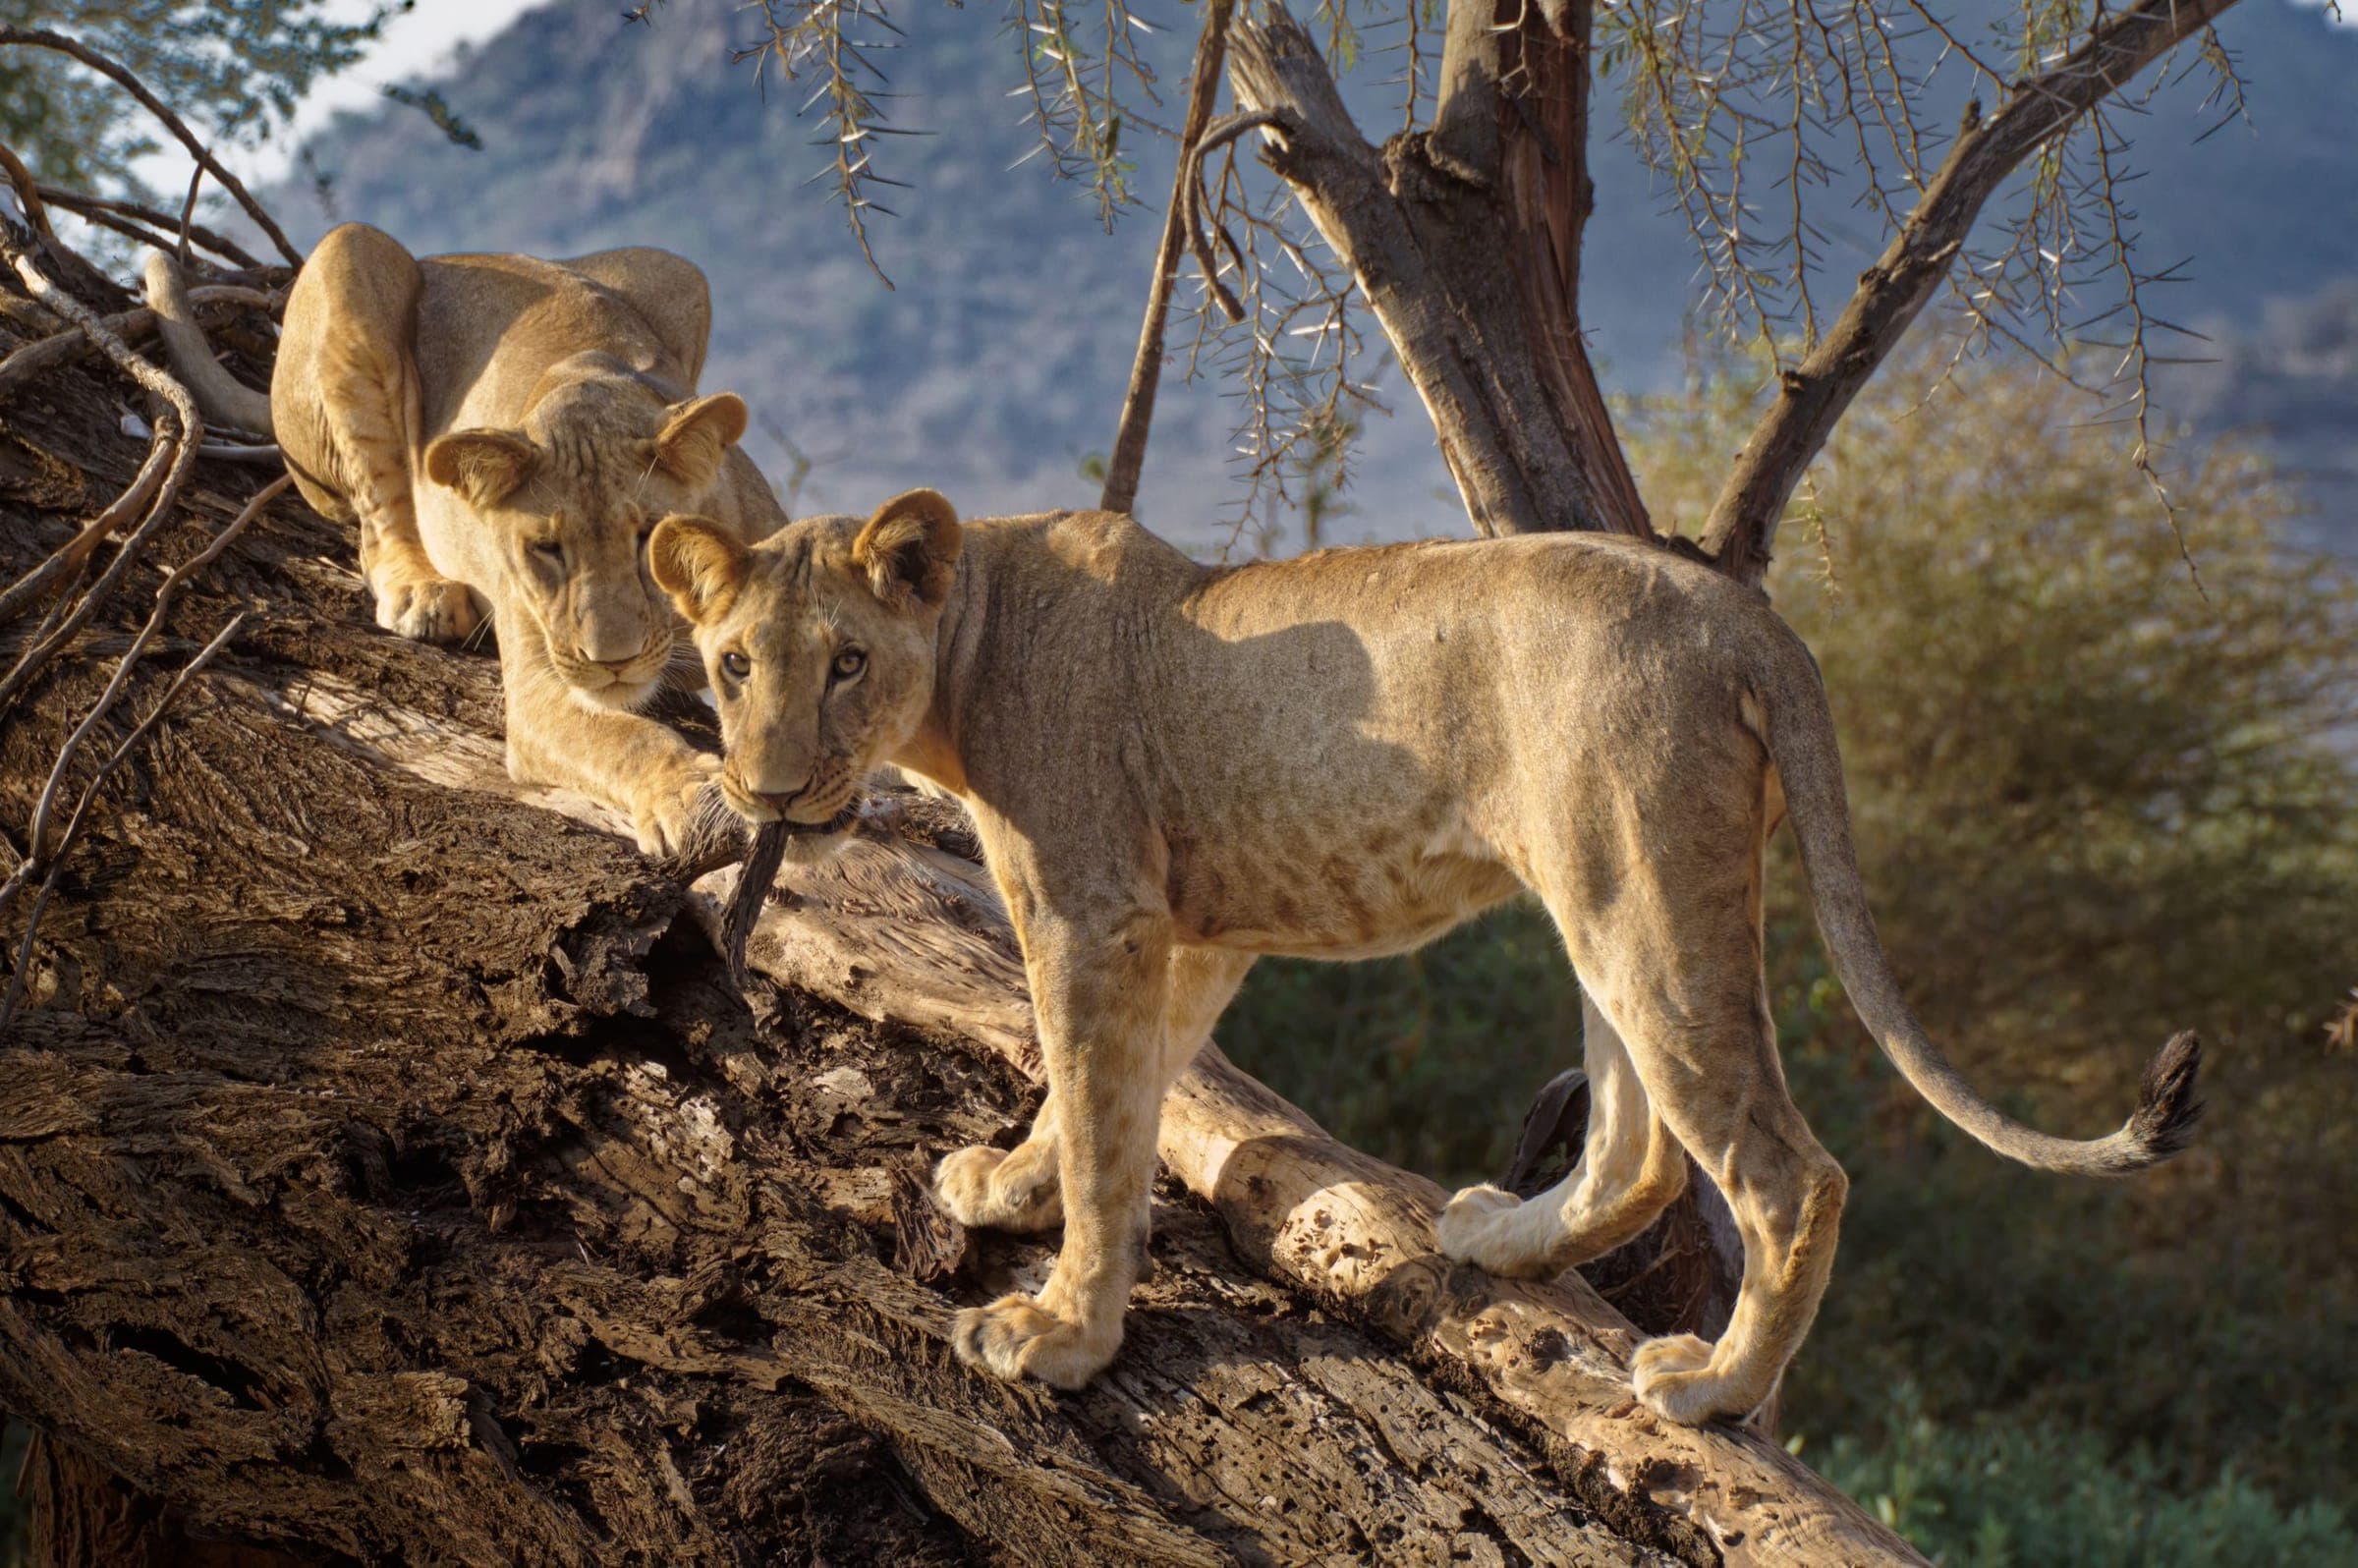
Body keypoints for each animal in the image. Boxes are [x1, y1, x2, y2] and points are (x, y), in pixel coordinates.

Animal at [145, 224, 786, 855]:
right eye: (547, 549)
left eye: (648, 536)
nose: (613, 662)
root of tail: (446, 257)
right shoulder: (536, 690)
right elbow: (623, 737)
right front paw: (692, 799)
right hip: (350, 255)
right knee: (378, 521)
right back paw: (423, 594)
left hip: (677, 272)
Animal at [647, 490, 2202, 1426]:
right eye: (734, 664)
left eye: (847, 662)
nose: (770, 788)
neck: (968, 648)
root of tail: (1745, 614)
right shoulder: (1186, 927)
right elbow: (1113, 1102)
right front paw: (1016, 1193)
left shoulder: (1095, 912)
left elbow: (1097, 1114)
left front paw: (1061, 1336)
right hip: (1604, 885)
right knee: (1641, 1146)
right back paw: (1502, 1238)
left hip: (1641, 885)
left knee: (1784, 1172)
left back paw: (1710, 1388)